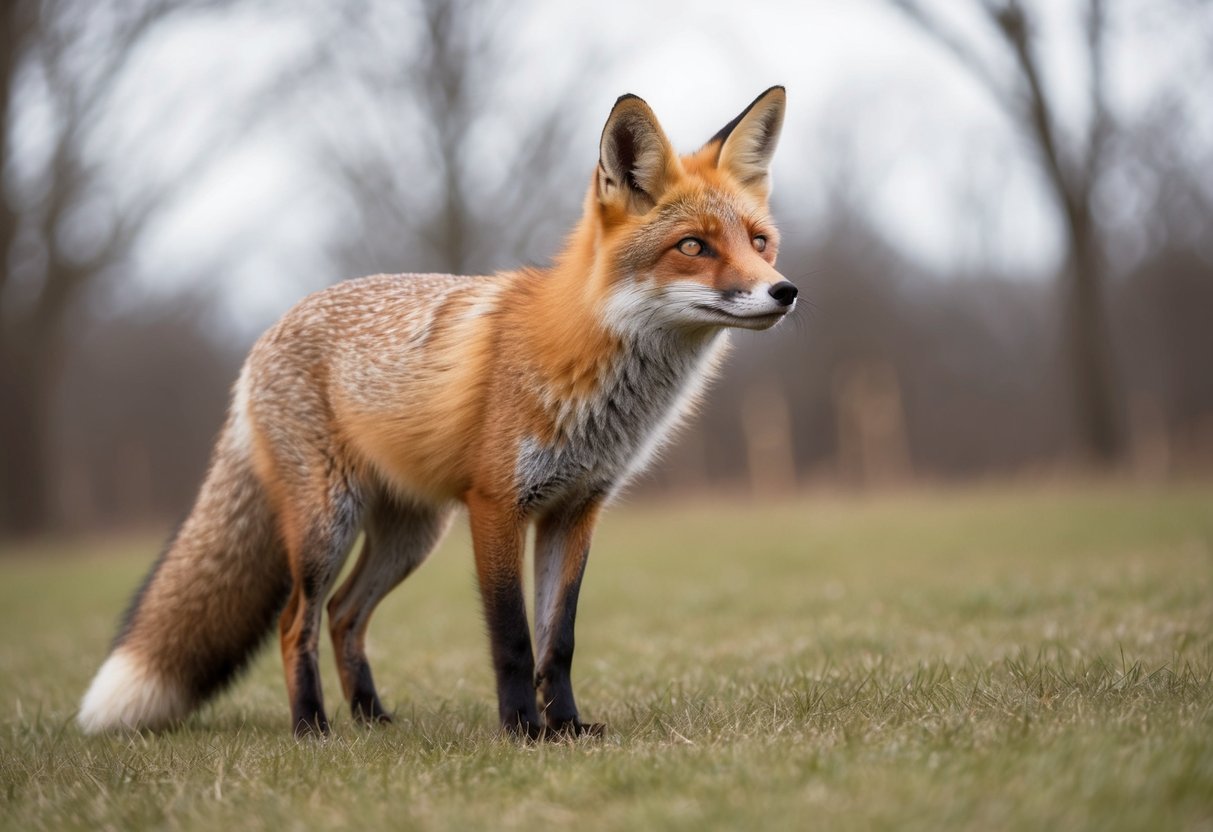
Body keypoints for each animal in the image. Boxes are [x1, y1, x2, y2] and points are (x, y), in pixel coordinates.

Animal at [78, 86, 796, 739]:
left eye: (759, 242)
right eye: (693, 247)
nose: (783, 291)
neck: (589, 364)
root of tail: (265, 337)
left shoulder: (575, 509)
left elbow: (557, 641)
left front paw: (565, 726)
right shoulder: (496, 504)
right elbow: (513, 639)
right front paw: (521, 730)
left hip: (410, 535)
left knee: (344, 615)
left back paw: (372, 718)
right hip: (326, 525)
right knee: (294, 623)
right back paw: (311, 726)